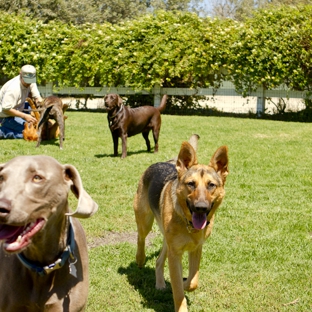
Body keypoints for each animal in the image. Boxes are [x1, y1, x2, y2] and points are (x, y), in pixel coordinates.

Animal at [133, 141, 228, 312]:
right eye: (191, 184)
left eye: (211, 185)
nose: (201, 208)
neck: (188, 223)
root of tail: (160, 162)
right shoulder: (175, 254)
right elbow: (178, 291)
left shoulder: (195, 249)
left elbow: (192, 281)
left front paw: (184, 283)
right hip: (145, 222)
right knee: (140, 238)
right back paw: (140, 258)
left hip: (167, 241)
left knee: (158, 261)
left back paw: (160, 283)